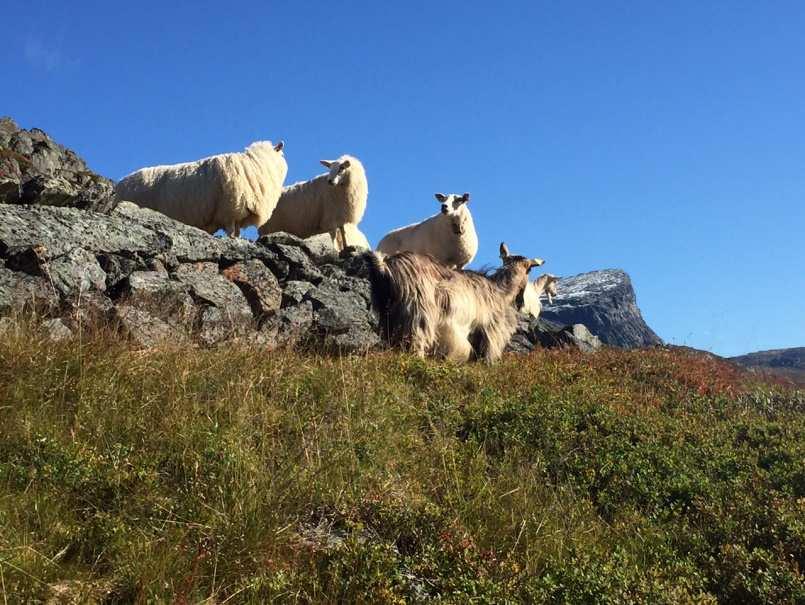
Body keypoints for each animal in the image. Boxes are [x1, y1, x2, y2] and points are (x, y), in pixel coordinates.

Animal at [114, 140, 286, 237]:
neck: (257, 163)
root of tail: (120, 184)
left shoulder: (237, 214)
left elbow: (236, 233)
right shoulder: (229, 211)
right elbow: (231, 233)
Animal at [368, 242, 544, 364]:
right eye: (529, 270)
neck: (501, 291)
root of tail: (386, 266)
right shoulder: (491, 332)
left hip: (389, 317)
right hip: (418, 315)